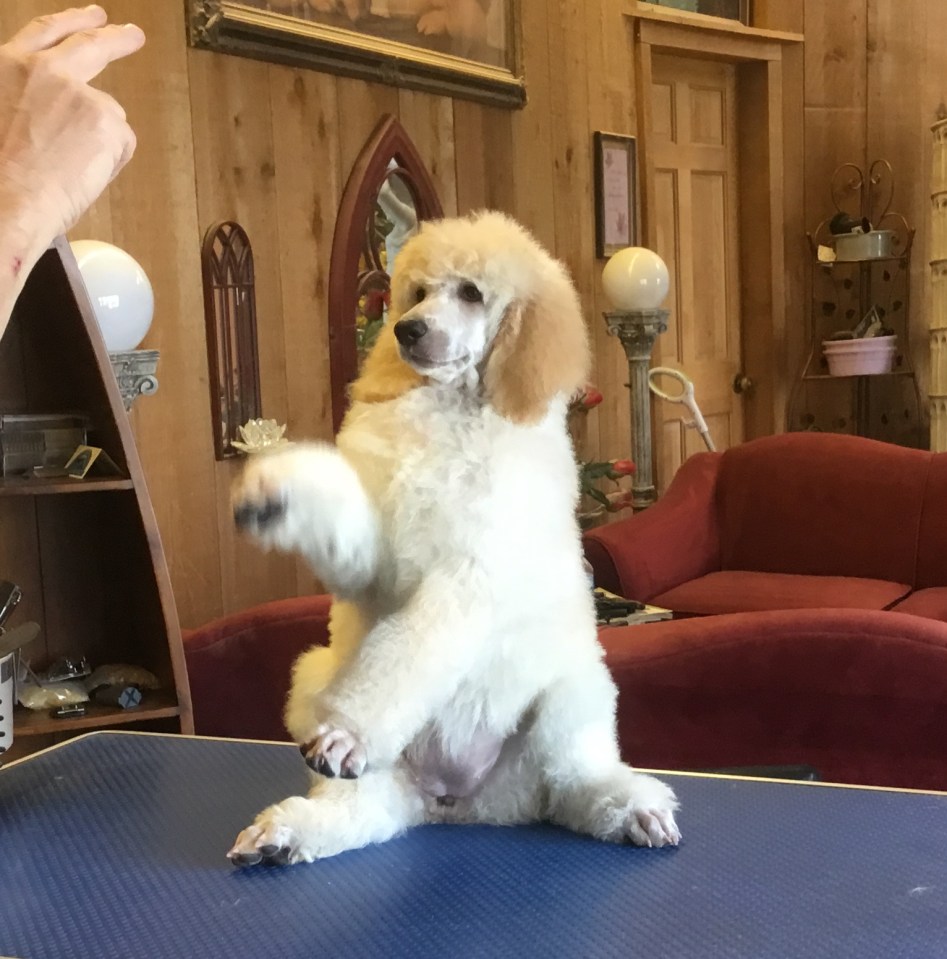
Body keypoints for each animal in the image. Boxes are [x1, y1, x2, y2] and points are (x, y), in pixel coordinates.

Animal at [227, 211, 681, 866]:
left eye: (471, 292)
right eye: (418, 292)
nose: (406, 330)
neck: (454, 410)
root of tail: (458, 803)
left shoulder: (469, 578)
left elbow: (411, 652)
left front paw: (349, 734)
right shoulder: (376, 559)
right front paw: (273, 492)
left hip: (572, 696)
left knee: (574, 782)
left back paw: (631, 809)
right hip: (318, 682)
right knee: (357, 808)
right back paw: (289, 832)